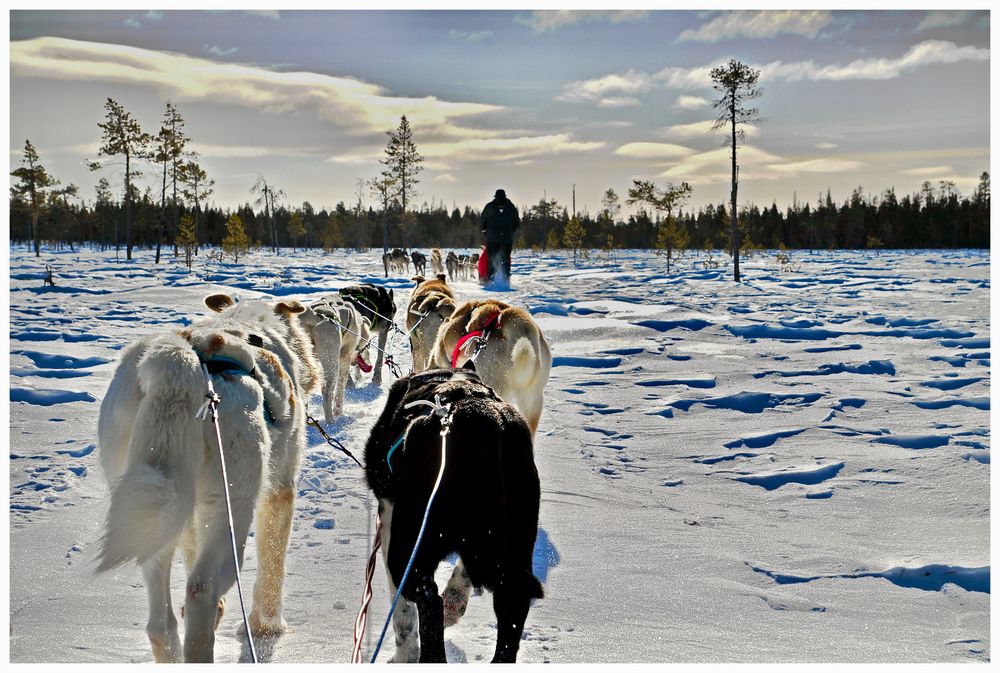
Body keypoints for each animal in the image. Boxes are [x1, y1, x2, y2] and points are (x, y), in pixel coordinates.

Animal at [95, 294, 318, 660]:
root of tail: (176, 361)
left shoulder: (188, 515)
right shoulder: (280, 491)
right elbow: (273, 564)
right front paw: (267, 628)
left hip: (151, 512)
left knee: (161, 624)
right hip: (230, 509)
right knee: (201, 590)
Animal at [364, 364, 544, 660]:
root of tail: (479, 417)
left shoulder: (390, 526)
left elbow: (402, 615)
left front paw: (404, 655)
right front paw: (456, 598)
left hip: (411, 545)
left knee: (427, 599)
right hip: (516, 543)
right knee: (510, 610)